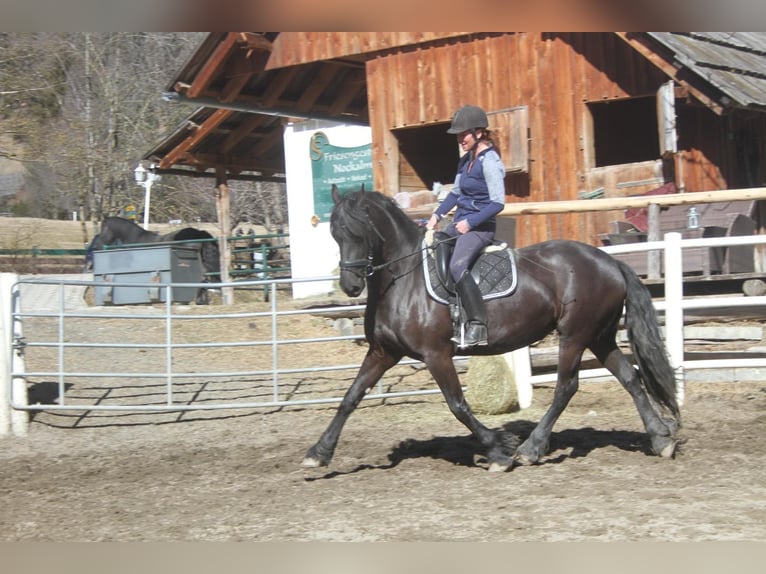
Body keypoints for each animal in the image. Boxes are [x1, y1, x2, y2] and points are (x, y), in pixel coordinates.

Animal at [85, 216, 220, 306]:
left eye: (103, 231)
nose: (89, 265)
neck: (135, 240)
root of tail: (199, 232)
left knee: (202, 278)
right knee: (204, 278)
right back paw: (201, 301)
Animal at [304, 187, 680, 474]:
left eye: (360, 231)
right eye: (335, 234)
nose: (350, 286)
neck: (402, 279)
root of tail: (610, 261)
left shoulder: (435, 354)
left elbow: (457, 404)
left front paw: (498, 450)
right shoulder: (384, 352)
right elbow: (350, 398)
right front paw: (319, 452)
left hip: (574, 336)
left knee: (566, 387)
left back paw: (531, 448)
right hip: (599, 337)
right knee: (629, 377)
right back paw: (660, 438)